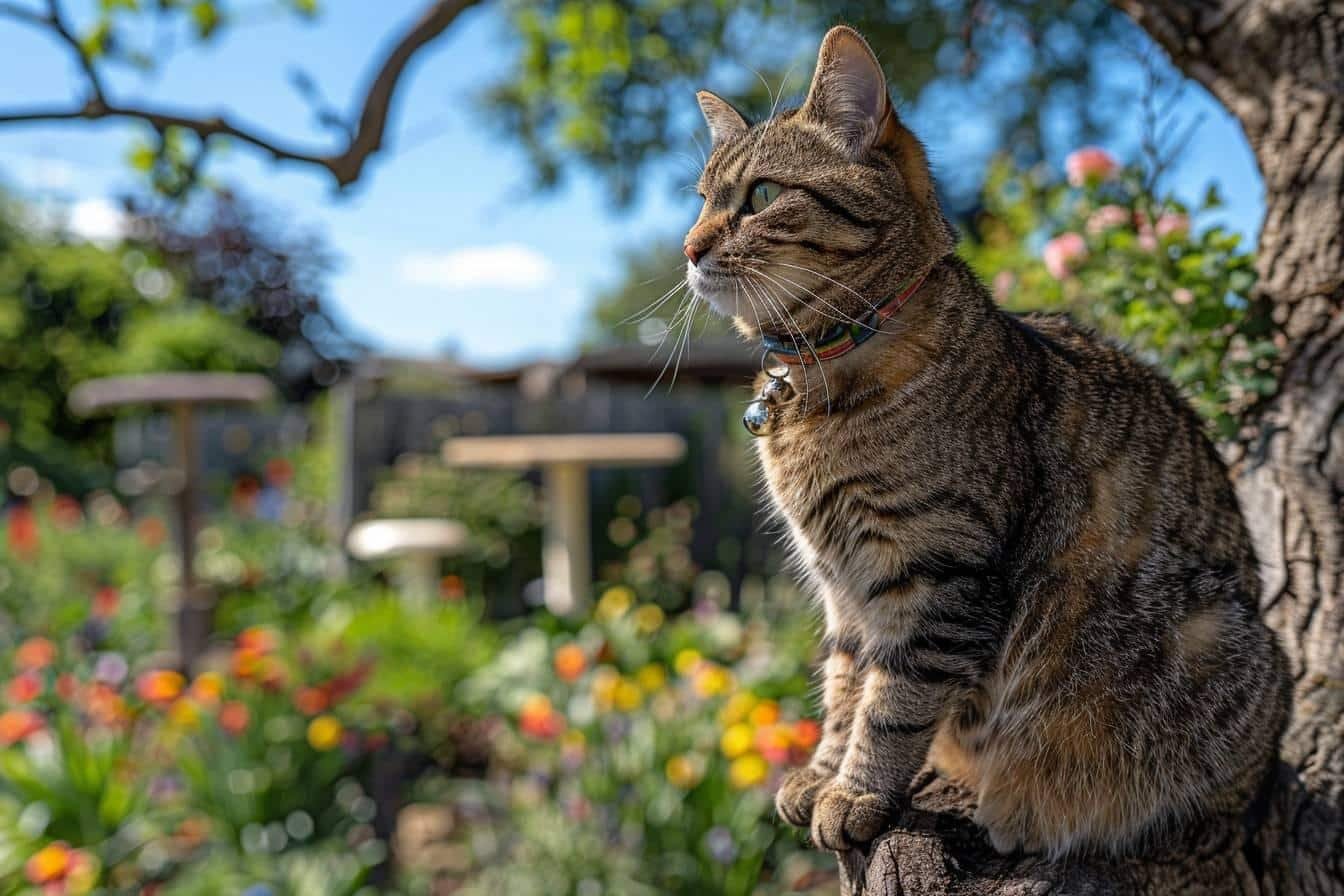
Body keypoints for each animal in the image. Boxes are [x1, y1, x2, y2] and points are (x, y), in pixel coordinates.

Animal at [682, 24, 1290, 859]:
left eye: (763, 197)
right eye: (702, 199)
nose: (689, 247)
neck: (821, 377)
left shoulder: (939, 572)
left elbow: (892, 701)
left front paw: (856, 791)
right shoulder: (843, 587)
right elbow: (845, 684)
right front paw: (824, 773)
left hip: (1213, 651)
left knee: (1236, 792)